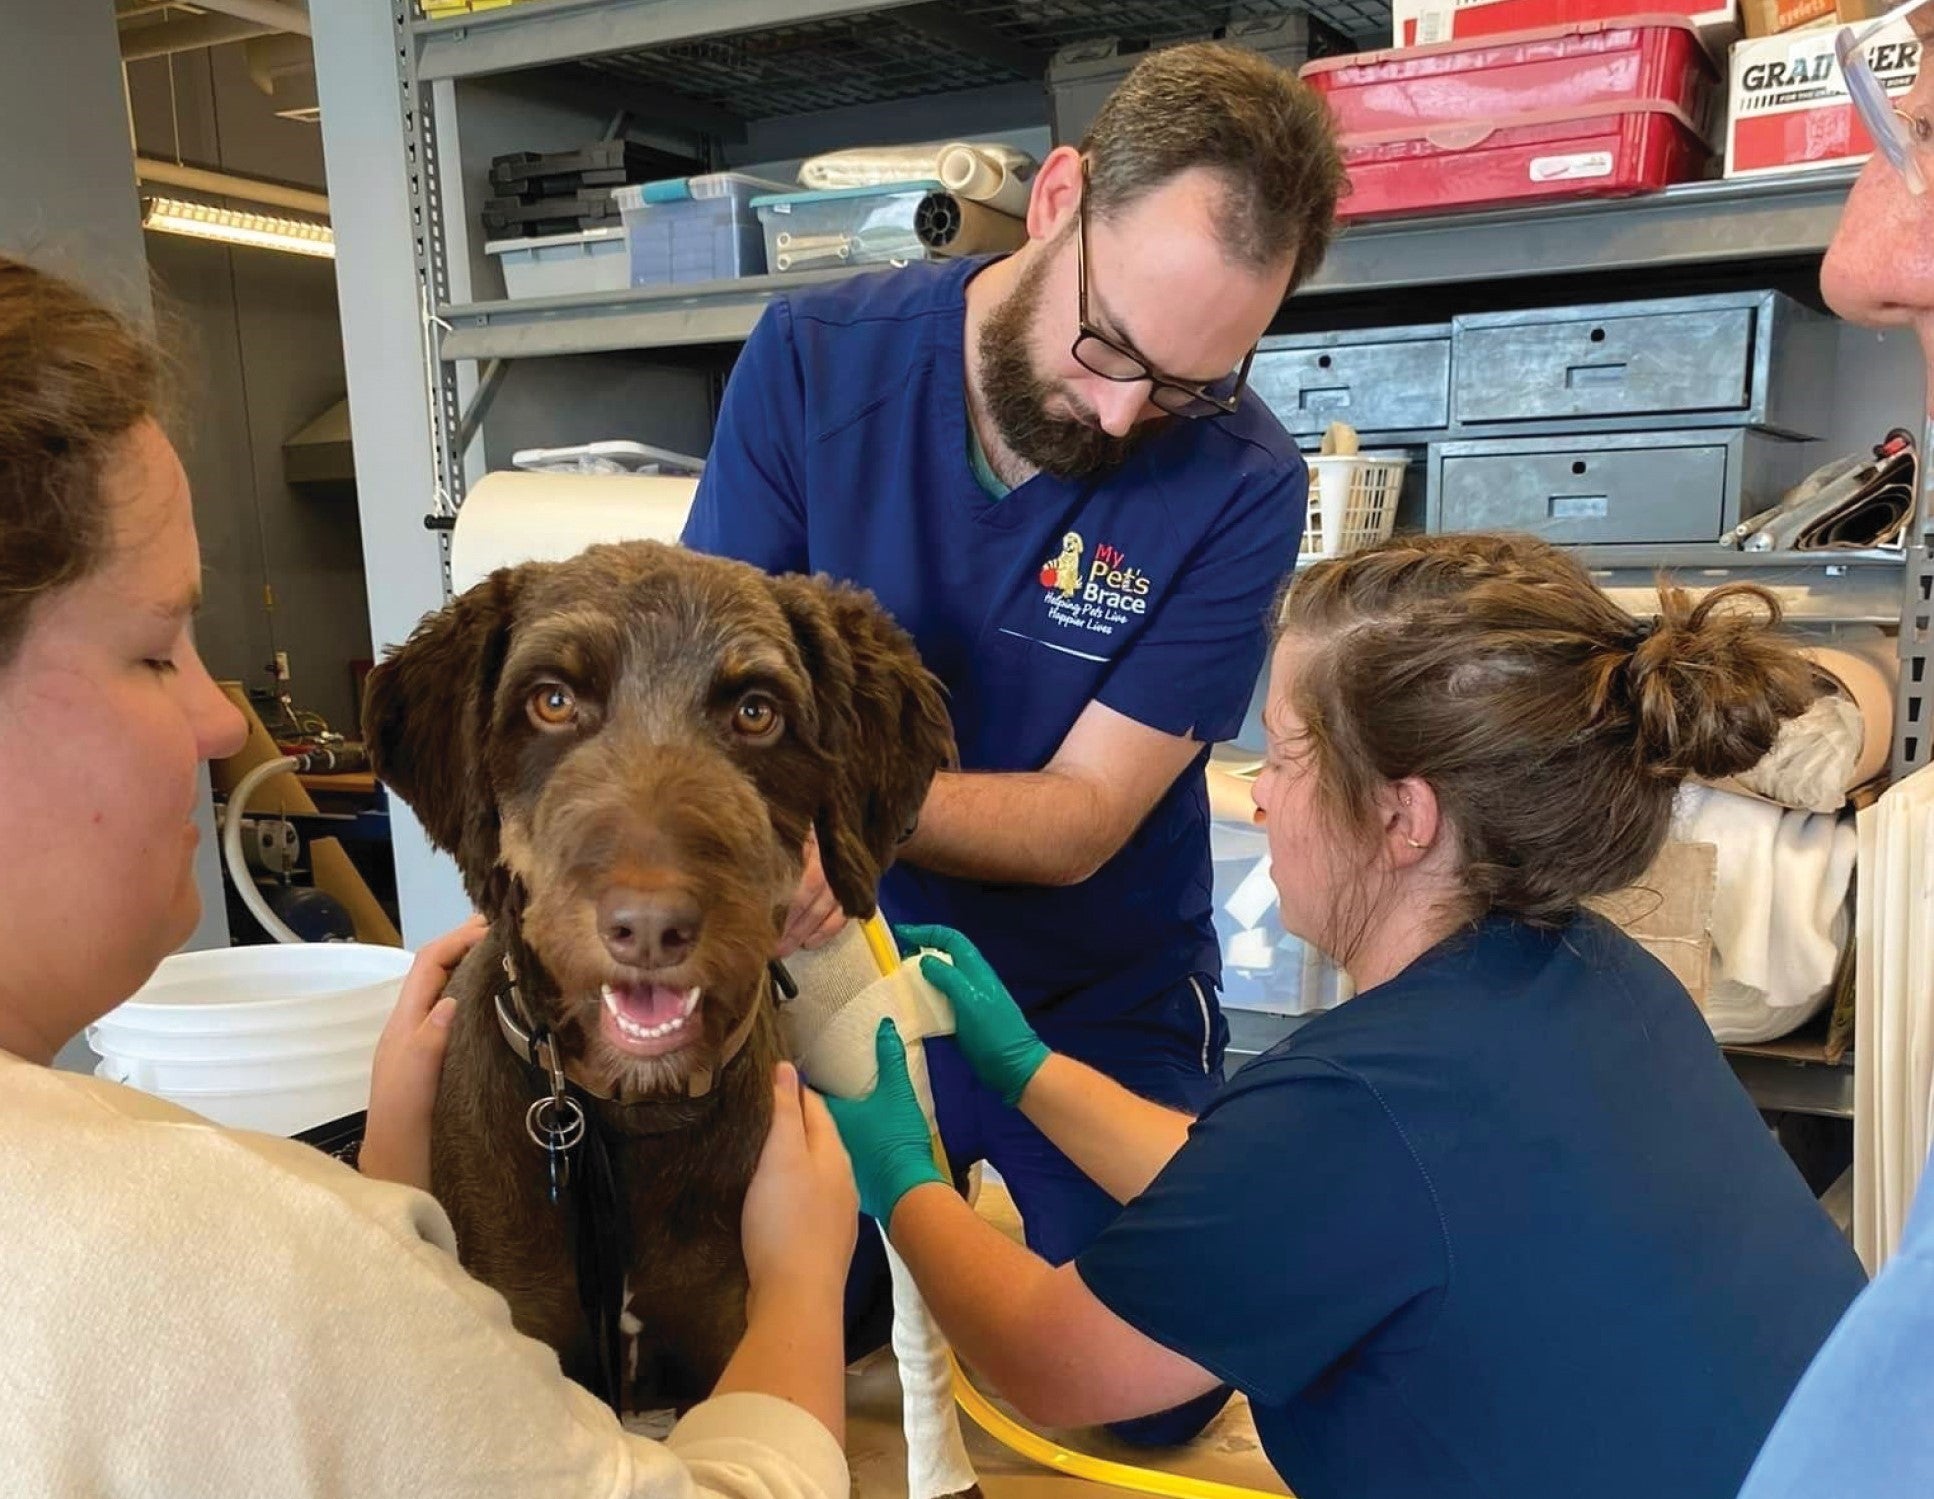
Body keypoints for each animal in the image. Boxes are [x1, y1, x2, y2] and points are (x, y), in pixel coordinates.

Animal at [363, 545, 951, 1415]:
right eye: (552, 699)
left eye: (756, 711)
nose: (649, 927)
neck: (628, 1117)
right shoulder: (520, 1323)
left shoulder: (726, 1333)